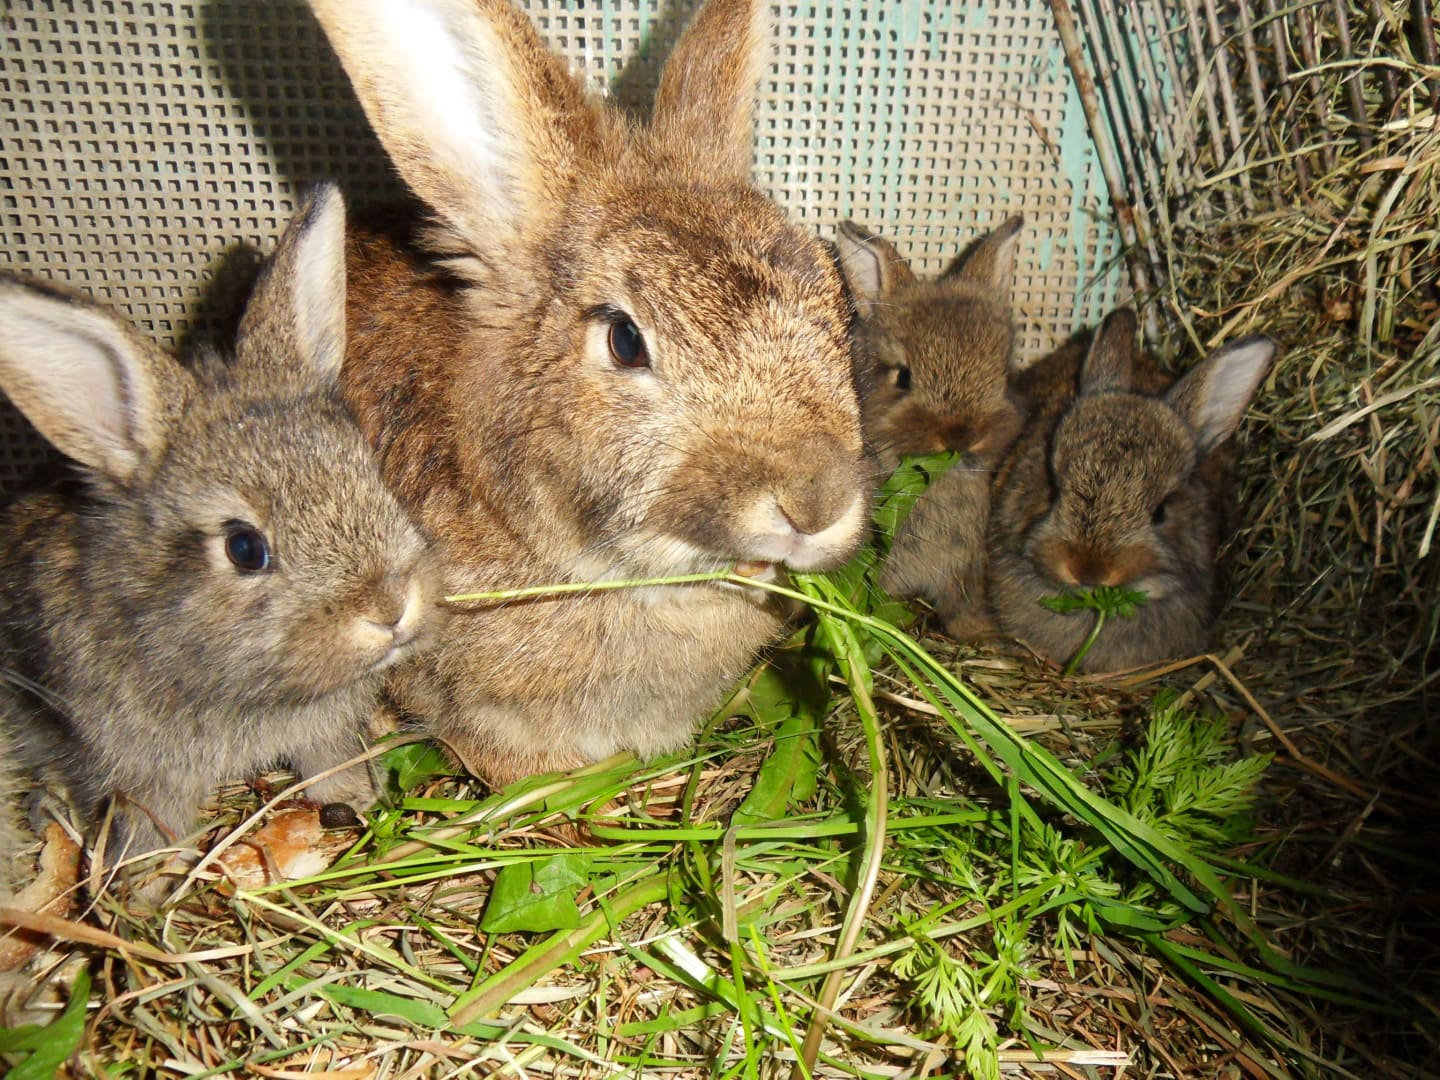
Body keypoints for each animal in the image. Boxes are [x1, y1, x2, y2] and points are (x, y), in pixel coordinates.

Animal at [0, 184, 441, 860]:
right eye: (244, 548)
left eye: (372, 473)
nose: (390, 608)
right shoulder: (139, 773)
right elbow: (150, 825)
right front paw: (146, 876)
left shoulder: (325, 731)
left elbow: (328, 768)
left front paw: (358, 801)